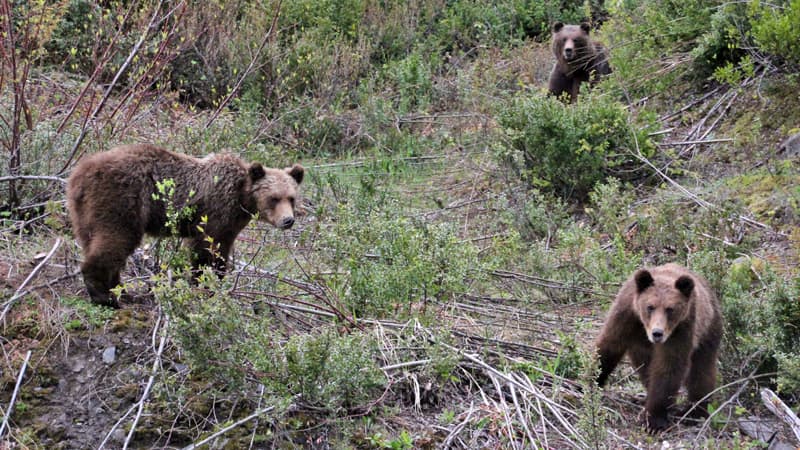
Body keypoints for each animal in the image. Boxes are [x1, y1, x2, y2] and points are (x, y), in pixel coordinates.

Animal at [67, 146, 304, 308]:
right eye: (274, 198)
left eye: (291, 198)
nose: (288, 220)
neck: (241, 199)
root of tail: (80, 172)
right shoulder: (215, 213)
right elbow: (206, 250)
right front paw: (203, 285)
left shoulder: (230, 226)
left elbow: (221, 251)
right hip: (122, 198)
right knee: (116, 239)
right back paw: (104, 296)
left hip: (83, 212)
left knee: (94, 240)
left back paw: (123, 292)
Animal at [592, 264, 724, 432]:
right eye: (650, 307)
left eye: (670, 309)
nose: (657, 333)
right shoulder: (626, 315)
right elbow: (609, 346)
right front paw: (589, 382)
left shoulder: (680, 330)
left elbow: (668, 367)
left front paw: (654, 420)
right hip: (640, 345)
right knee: (645, 365)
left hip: (708, 329)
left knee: (702, 369)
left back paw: (695, 411)